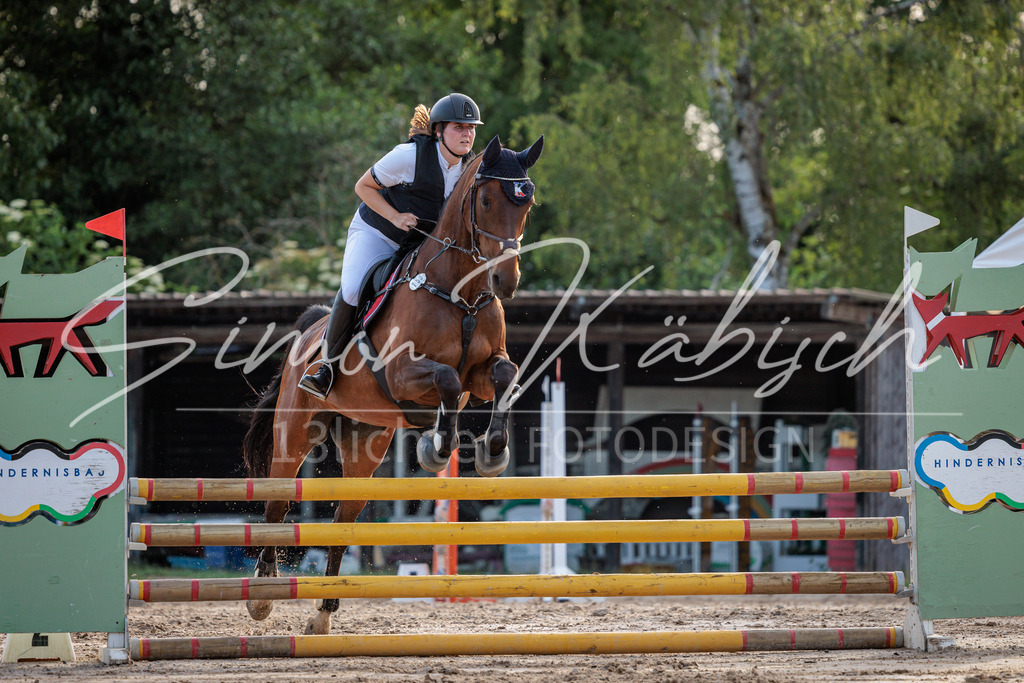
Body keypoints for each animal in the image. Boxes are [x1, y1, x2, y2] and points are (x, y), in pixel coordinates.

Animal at [241, 134, 543, 634]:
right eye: (485, 200)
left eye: (528, 203)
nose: (506, 280)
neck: (459, 291)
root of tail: (307, 330)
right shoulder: (405, 374)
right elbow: (444, 379)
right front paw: (436, 448)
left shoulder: (479, 378)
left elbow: (503, 375)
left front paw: (493, 452)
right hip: (295, 434)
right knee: (277, 505)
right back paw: (263, 596)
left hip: (364, 444)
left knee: (343, 520)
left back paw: (322, 616)